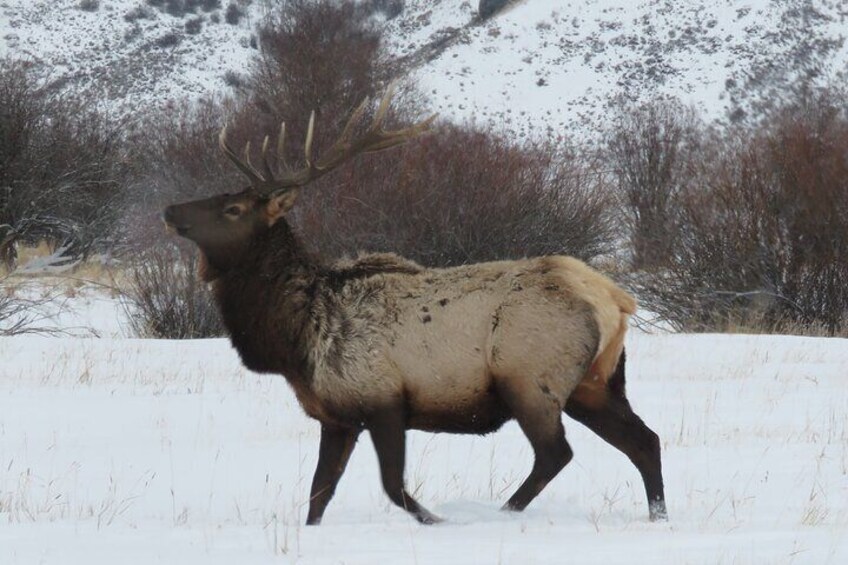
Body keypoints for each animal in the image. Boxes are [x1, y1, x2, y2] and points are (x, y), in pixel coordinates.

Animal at [164, 85, 668, 524]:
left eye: (233, 209)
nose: (170, 210)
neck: (295, 339)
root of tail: (614, 300)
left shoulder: (382, 398)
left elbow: (392, 487)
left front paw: (437, 520)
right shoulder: (337, 415)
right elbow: (318, 496)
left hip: (530, 377)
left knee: (555, 453)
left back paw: (504, 512)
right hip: (594, 383)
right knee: (645, 440)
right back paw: (657, 516)